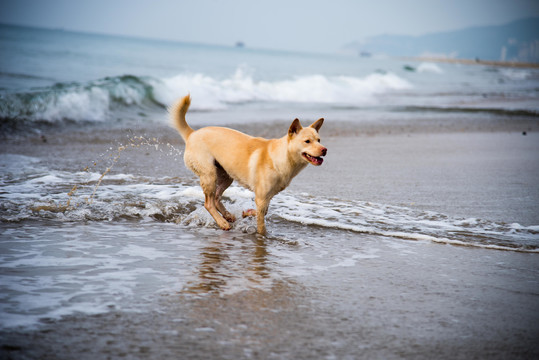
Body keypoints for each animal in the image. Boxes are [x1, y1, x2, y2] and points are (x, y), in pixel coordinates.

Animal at [171, 94, 326, 235]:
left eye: (319, 140)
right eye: (307, 141)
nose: (324, 150)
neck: (283, 157)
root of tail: (192, 133)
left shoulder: (266, 197)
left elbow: (262, 212)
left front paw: (247, 213)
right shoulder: (261, 198)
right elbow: (261, 223)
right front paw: (262, 235)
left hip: (226, 176)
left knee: (215, 198)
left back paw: (227, 216)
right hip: (209, 175)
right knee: (208, 203)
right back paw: (222, 223)